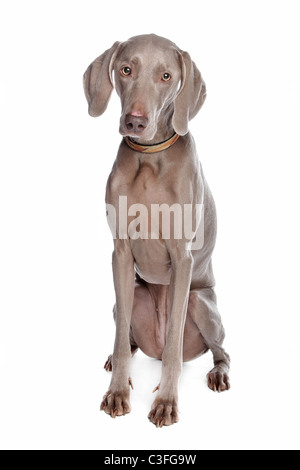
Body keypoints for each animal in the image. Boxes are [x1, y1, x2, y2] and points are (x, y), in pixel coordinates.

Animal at [83, 35, 231, 428]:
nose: (135, 121)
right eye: (125, 69)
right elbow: (122, 343)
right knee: (128, 337)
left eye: (166, 76)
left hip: (201, 303)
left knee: (217, 350)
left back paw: (218, 372)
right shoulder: (120, 253)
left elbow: (175, 348)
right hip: (130, 298)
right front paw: (117, 392)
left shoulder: (182, 258)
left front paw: (166, 402)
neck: (149, 158)